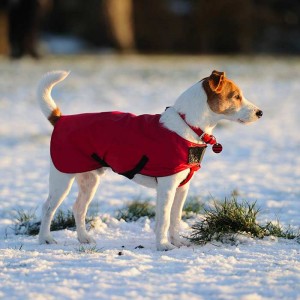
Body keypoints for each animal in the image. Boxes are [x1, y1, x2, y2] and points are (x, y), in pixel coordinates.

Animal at [37, 70, 262, 251]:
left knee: (78, 208)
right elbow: (164, 219)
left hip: (89, 180)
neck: (187, 126)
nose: (260, 112)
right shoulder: (167, 187)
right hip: (62, 179)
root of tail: (61, 119)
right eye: (236, 96)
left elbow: (175, 218)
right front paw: (163, 245)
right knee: (47, 208)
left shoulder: (182, 188)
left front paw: (177, 242)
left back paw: (84, 238)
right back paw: (45, 239)